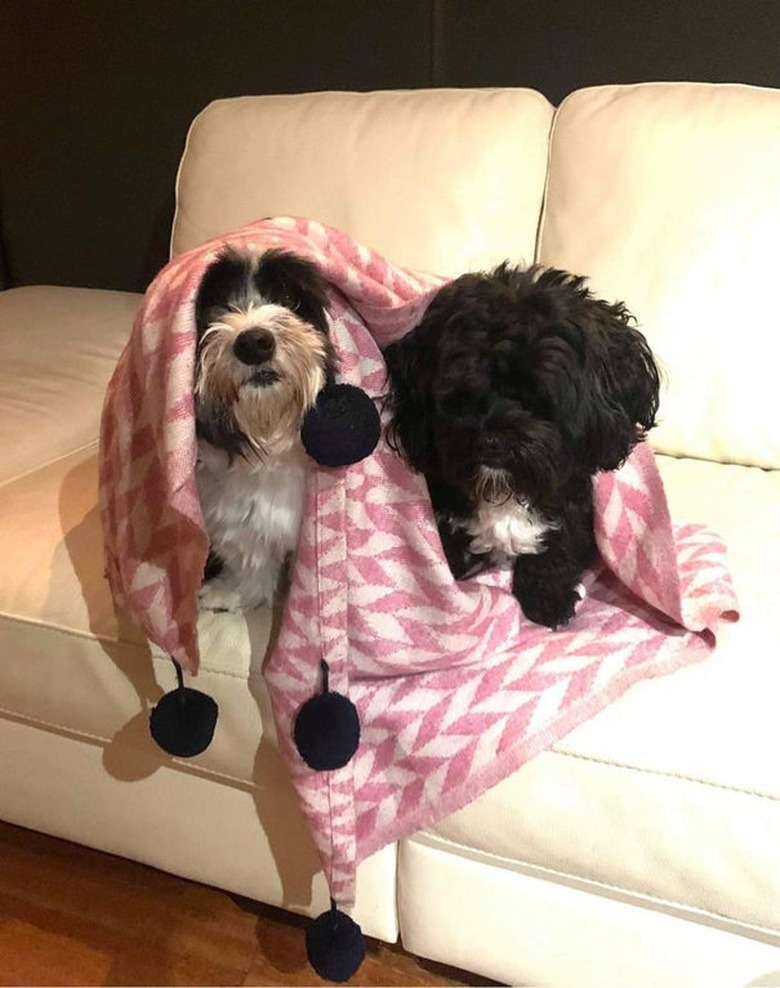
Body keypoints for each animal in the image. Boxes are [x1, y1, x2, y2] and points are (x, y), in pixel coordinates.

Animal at [193, 249, 334, 608]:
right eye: (217, 306)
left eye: (289, 298)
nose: (254, 343)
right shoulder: (239, 516)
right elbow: (250, 556)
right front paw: (233, 591)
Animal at [384, 264, 660, 624]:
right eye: (461, 396)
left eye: (536, 397)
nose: (492, 440)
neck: (508, 493)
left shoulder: (571, 511)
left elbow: (555, 549)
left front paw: (548, 599)